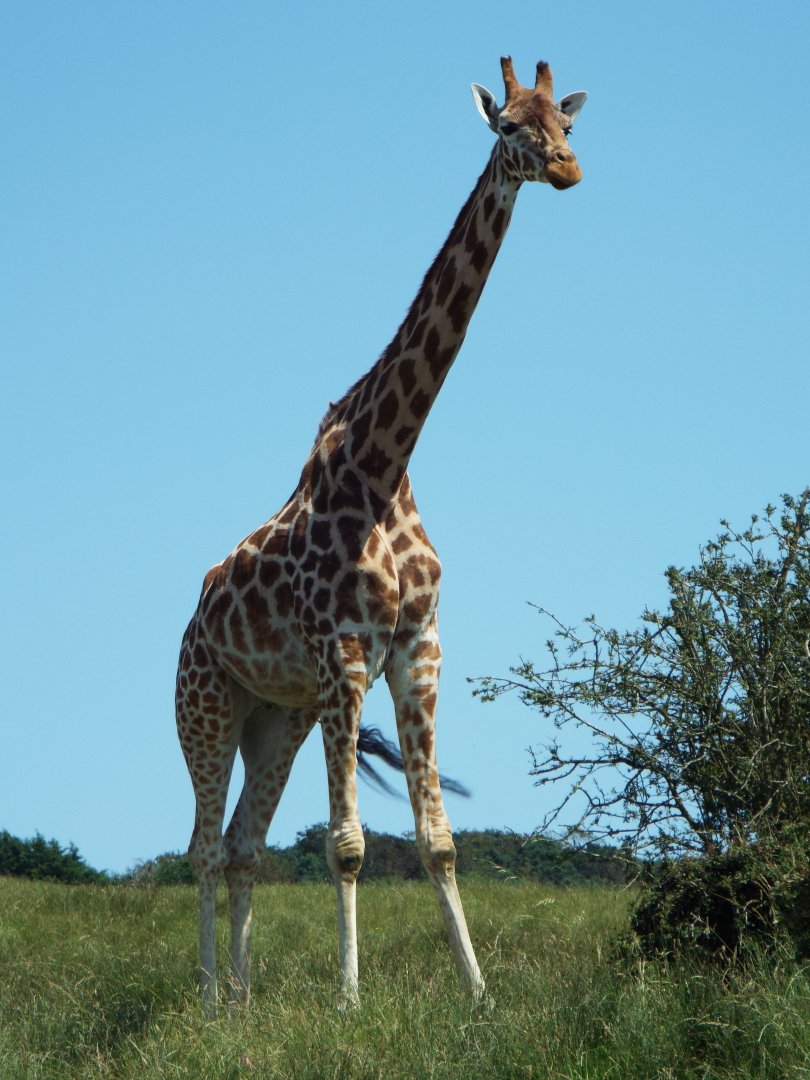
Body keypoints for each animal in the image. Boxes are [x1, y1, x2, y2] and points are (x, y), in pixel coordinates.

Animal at [176, 55, 587, 1013]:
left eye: (566, 123)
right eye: (507, 126)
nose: (565, 169)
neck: (385, 461)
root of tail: (192, 621)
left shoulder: (419, 645)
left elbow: (437, 840)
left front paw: (481, 998)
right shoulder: (345, 650)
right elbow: (348, 845)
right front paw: (350, 1002)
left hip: (275, 718)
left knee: (244, 846)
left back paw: (243, 1005)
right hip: (204, 704)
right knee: (203, 848)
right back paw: (209, 1001)